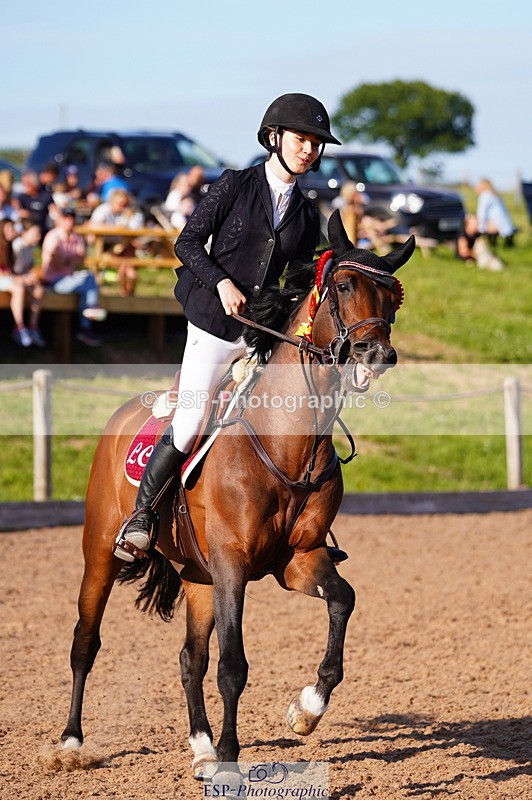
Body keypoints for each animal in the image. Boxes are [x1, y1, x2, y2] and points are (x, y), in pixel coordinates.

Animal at [60, 210, 414, 782]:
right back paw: (72, 743)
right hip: (102, 554)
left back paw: (202, 747)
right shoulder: (232, 564)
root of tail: (122, 415)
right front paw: (231, 761)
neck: (287, 442)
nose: (377, 354)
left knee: (190, 658)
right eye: (344, 286)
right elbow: (234, 666)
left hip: (197, 575)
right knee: (85, 643)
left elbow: (343, 601)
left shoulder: (299, 559)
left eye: (393, 300)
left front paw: (306, 710)